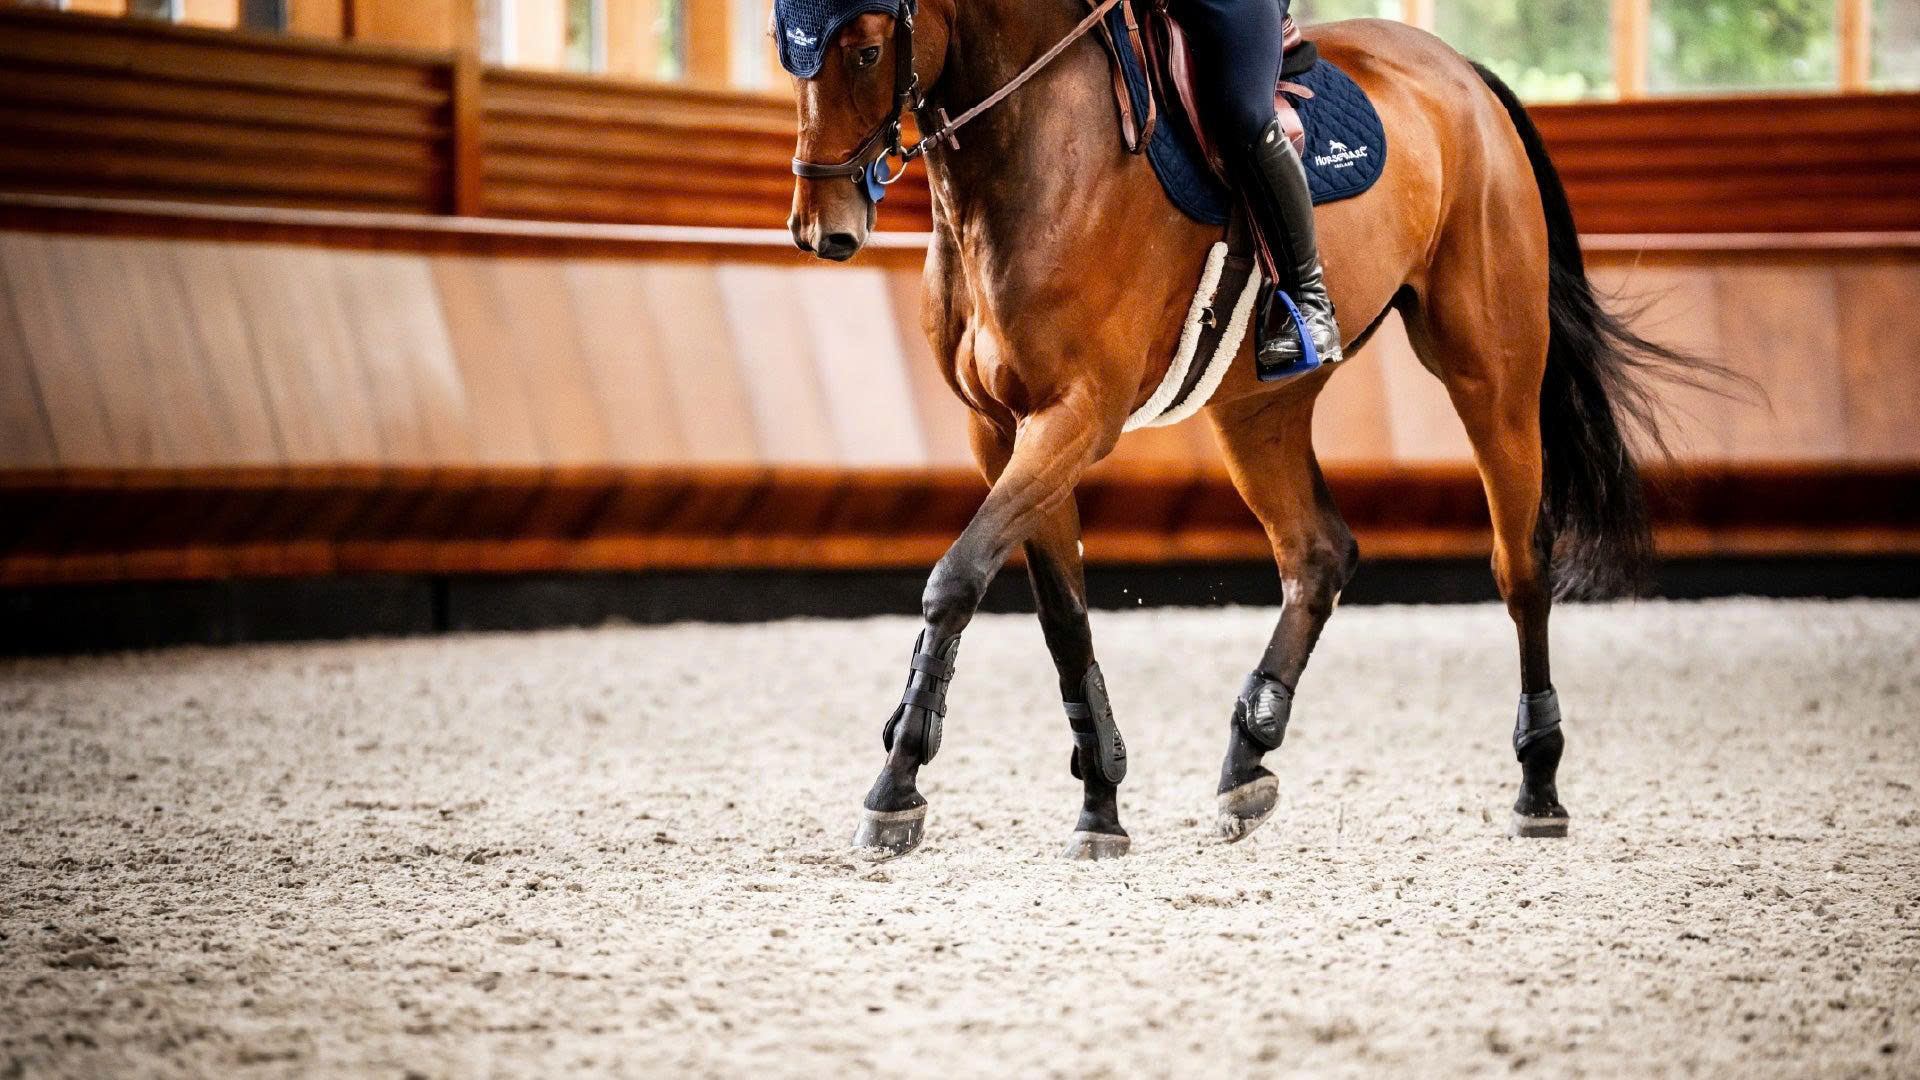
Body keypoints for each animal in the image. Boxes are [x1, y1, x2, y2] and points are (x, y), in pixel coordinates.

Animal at [783, 0, 1703, 860]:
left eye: (866, 51)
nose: (823, 228)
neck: (1030, 151)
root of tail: (1461, 74)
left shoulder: (1076, 417)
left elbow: (956, 580)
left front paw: (898, 781)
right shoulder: (1003, 430)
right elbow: (1061, 617)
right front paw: (1100, 801)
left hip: (1491, 375)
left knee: (1521, 565)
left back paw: (1538, 784)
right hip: (1258, 410)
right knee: (1318, 552)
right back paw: (1246, 759)